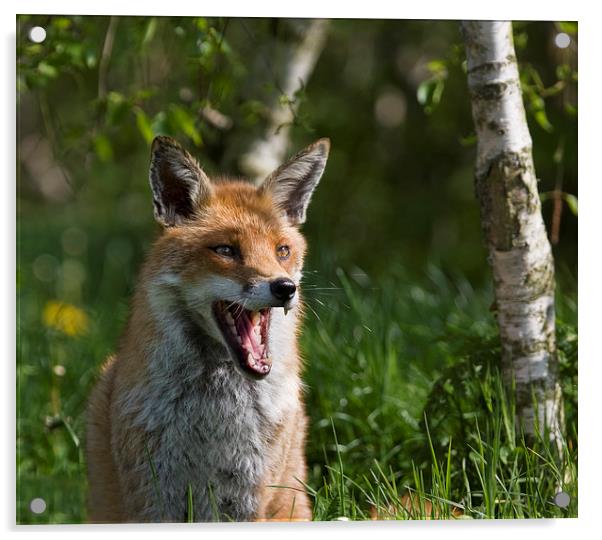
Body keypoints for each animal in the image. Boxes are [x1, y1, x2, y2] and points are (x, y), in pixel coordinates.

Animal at [85, 136, 328, 524]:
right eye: (226, 250)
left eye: (282, 250)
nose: (285, 288)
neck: (215, 410)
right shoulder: (154, 495)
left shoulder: (250, 495)